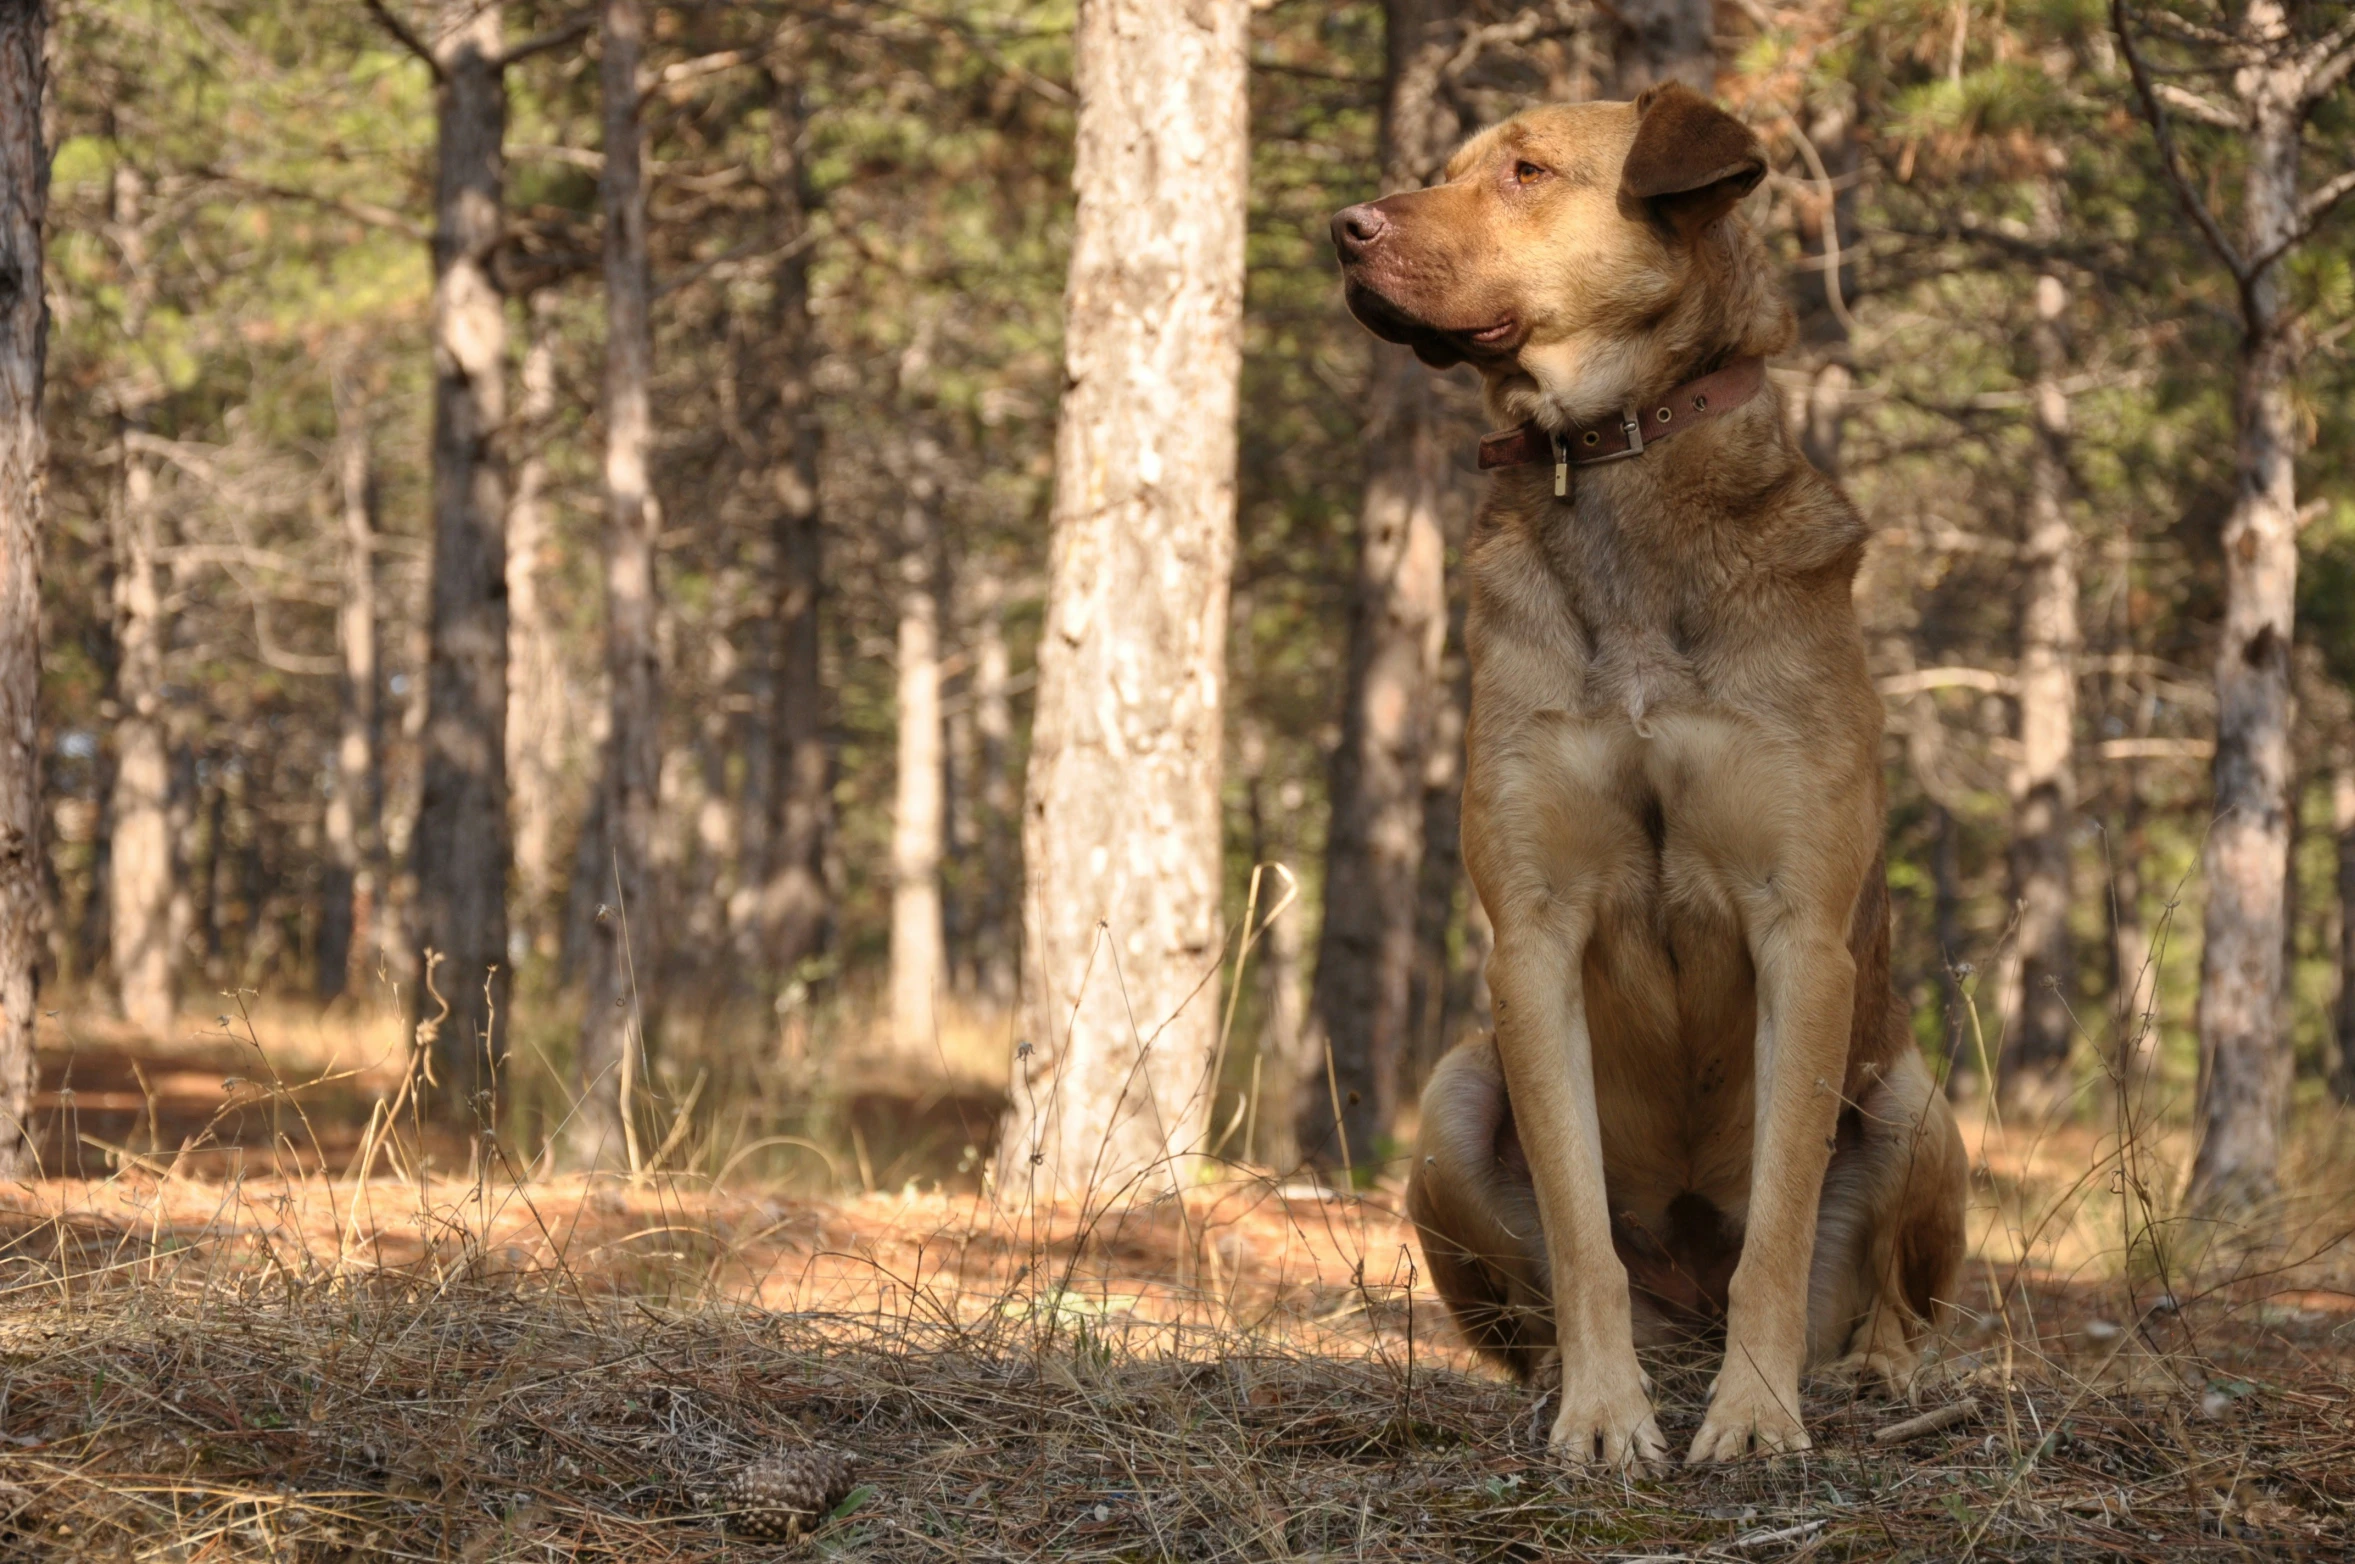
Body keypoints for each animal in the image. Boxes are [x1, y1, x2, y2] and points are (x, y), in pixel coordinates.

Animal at [1347, 85, 1968, 1469]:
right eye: (1446, 168)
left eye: (1526, 171)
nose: (1344, 227)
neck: (1614, 462)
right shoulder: (1532, 936)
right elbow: (1581, 1230)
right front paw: (1601, 1413)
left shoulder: (1805, 937)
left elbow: (1779, 1227)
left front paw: (1756, 1414)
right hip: (1452, 1098)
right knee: (1535, 1292)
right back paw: (1553, 1381)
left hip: (1915, 1097)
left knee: (1896, 1294)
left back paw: (1876, 1370)